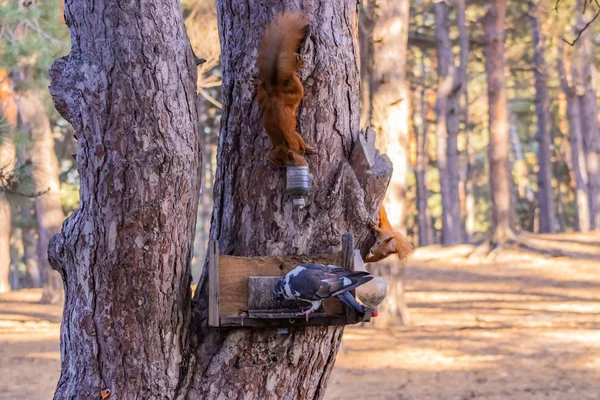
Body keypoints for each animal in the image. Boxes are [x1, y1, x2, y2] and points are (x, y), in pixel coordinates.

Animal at [256, 11, 316, 166]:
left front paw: (308, 148)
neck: (286, 146)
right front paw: (307, 148)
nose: (281, 165)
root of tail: (276, 92)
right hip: (292, 96)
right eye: (282, 161)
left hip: (280, 99)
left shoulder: (293, 138)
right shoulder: (293, 138)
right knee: (295, 85)